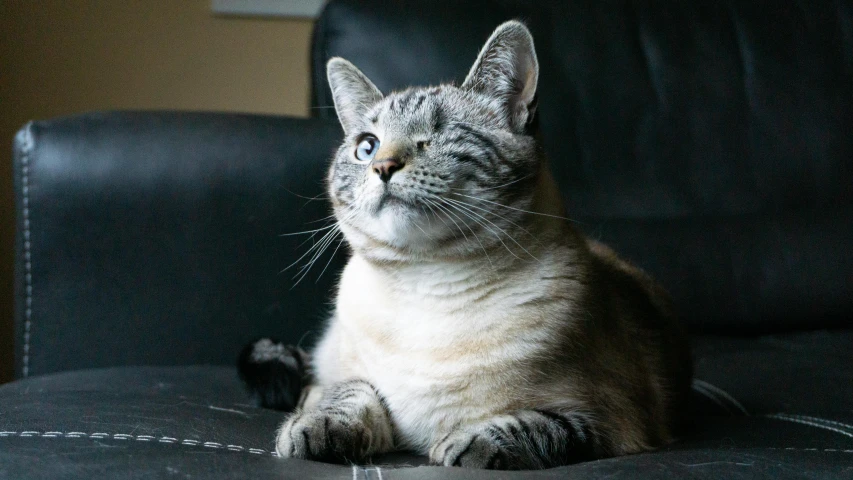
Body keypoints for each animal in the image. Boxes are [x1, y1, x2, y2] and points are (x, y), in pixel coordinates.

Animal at [240, 20, 692, 470]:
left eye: (438, 136)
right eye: (367, 146)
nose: (383, 165)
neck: (426, 282)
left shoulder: (614, 421)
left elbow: (532, 426)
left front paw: (463, 445)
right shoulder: (335, 381)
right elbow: (350, 393)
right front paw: (318, 430)